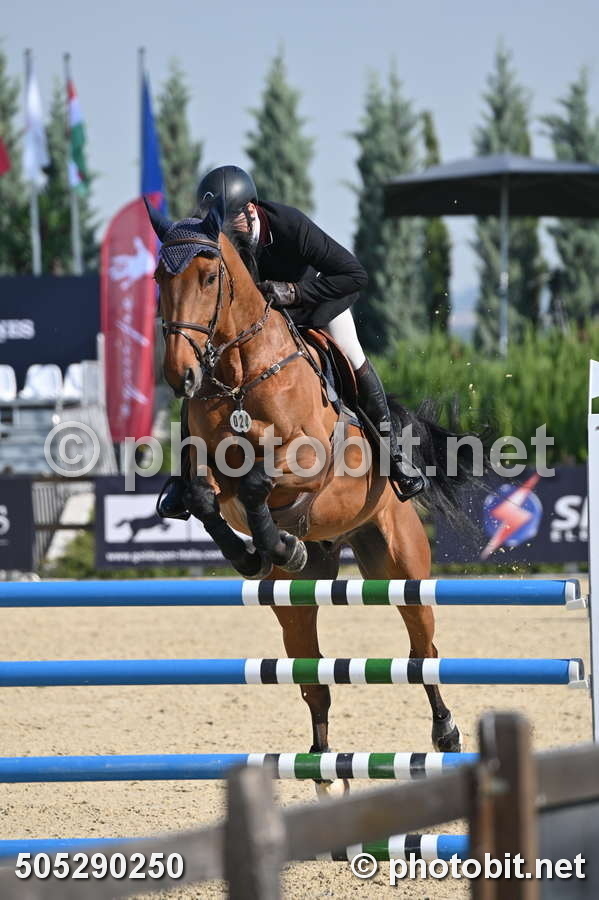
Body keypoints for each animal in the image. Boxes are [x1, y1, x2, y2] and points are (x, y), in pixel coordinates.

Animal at [147, 196, 478, 790]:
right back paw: (323, 762)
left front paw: (275, 541)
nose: (179, 374)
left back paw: (446, 733)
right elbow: (205, 499)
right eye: (161, 278)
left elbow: (259, 482)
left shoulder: (309, 465)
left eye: (208, 276)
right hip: (295, 603)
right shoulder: (208, 471)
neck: (242, 374)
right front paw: (256, 551)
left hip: (402, 568)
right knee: (313, 677)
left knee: (423, 651)